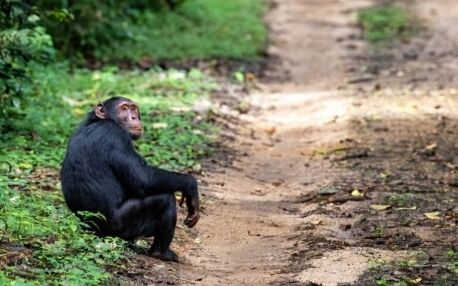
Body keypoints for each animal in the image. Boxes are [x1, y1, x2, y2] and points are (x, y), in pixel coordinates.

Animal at [60, 96, 199, 262]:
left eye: (133, 108)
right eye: (124, 108)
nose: (133, 117)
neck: (103, 121)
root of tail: (90, 231)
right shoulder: (115, 136)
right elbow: (143, 178)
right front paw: (191, 186)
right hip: (120, 228)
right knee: (164, 199)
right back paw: (160, 253)